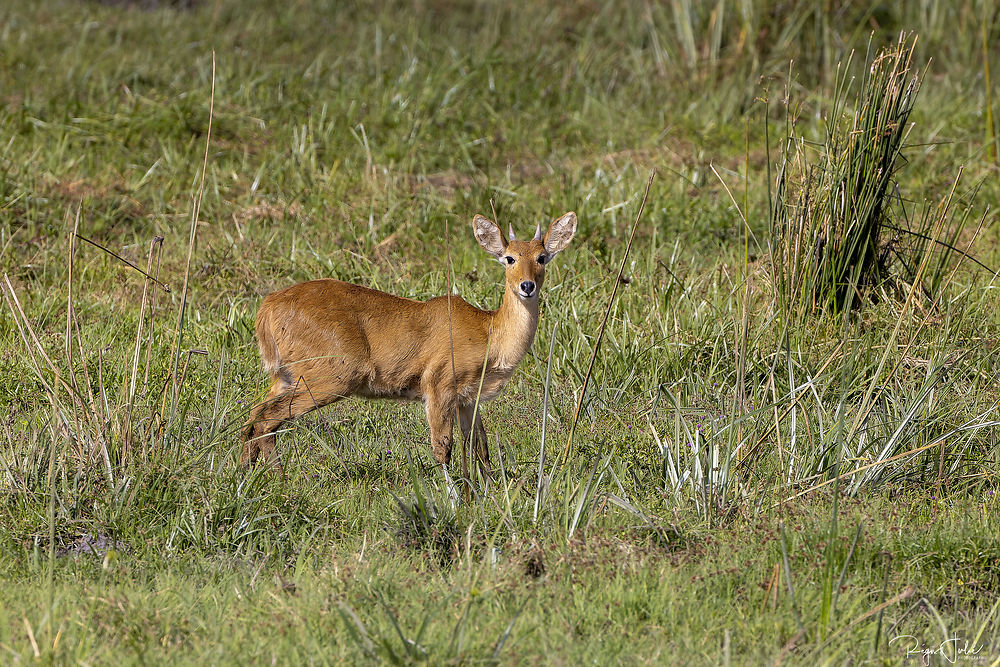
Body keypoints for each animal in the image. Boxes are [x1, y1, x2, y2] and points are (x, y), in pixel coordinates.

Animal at [239, 211, 580, 472]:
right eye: (509, 258)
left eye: (542, 257)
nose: (527, 286)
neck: (489, 333)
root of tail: (268, 306)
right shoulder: (439, 384)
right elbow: (443, 449)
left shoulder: (469, 399)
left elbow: (480, 448)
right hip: (330, 376)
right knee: (266, 420)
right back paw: (276, 478)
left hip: (285, 376)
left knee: (254, 416)